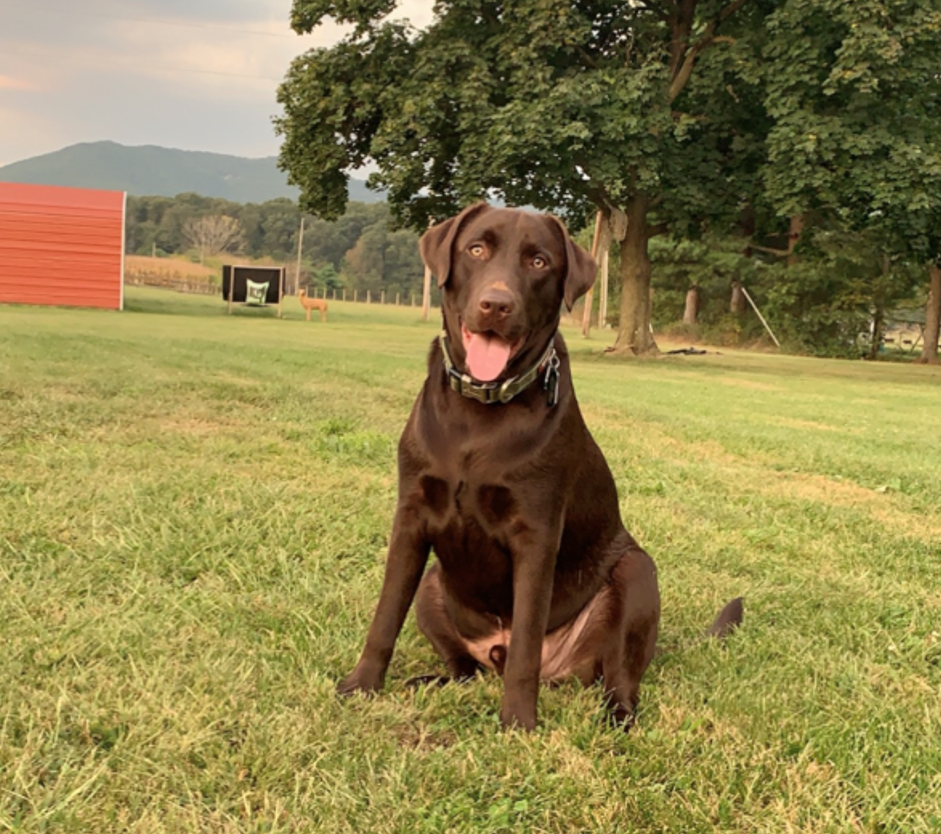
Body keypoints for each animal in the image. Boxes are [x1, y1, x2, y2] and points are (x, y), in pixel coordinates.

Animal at [338, 203, 740, 728]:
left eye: (539, 261)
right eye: (476, 249)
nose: (496, 304)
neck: (480, 412)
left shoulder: (536, 532)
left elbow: (528, 640)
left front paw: (518, 723)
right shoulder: (411, 518)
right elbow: (385, 615)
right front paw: (361, 686)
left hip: (636, 573)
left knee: (618, 676)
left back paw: (616, 718)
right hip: (433, 586)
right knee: (465, 668)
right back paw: (432, 680)